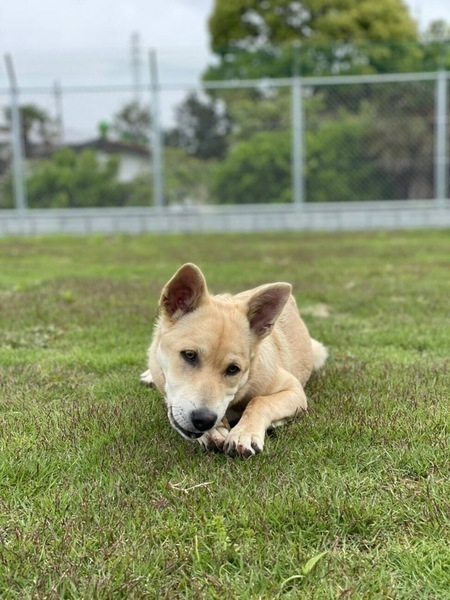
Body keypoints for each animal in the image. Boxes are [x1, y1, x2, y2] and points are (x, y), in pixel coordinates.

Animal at [141, 263, 327, 457]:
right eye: (189, 355)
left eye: (233, 369)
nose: (204, 421)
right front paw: (216, 430)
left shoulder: (294, 390)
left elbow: (259, 401)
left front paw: (244, 433)